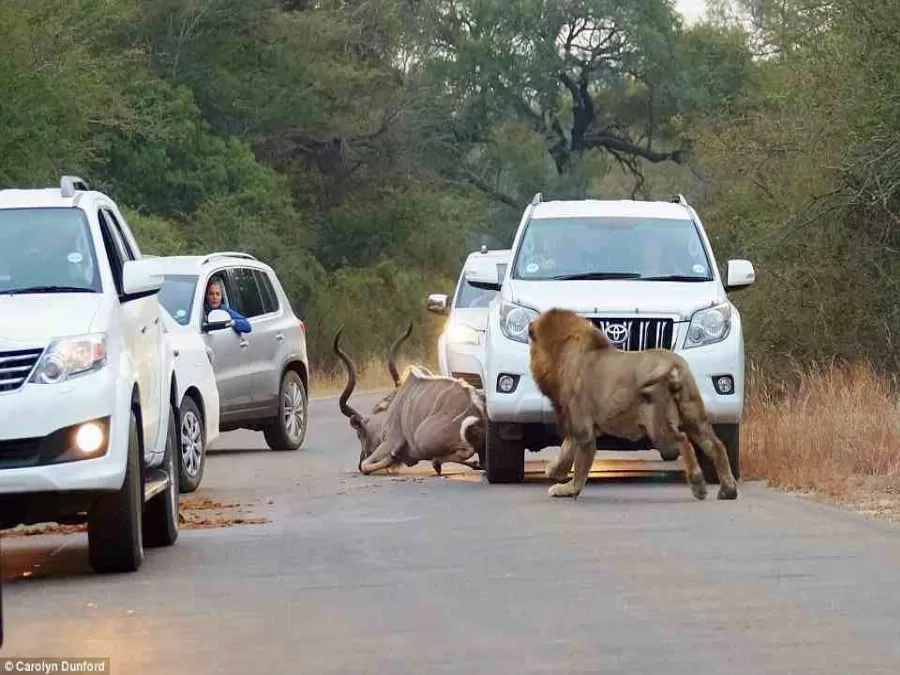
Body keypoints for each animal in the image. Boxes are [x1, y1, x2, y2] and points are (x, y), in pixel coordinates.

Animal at [528, 308, 740, 502]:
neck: (564, 353)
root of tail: (674, 366)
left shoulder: (583, 428)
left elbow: (580, 466)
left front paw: (567, 489)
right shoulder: (578, 425)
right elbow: (566, 450)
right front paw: (553, 471)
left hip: (657, 424)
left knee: (684, 441)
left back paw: (698, 485)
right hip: (694, 416)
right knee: (716, 446)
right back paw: (728, 490)